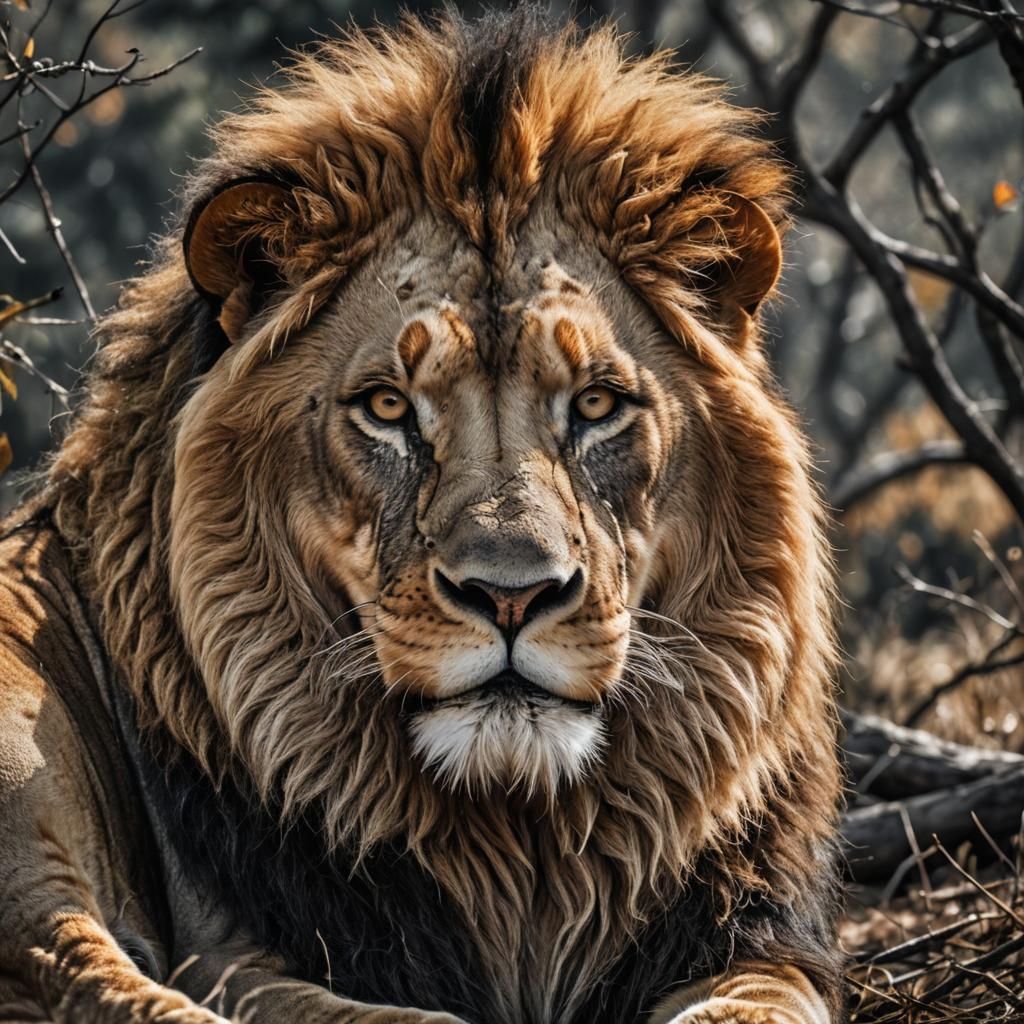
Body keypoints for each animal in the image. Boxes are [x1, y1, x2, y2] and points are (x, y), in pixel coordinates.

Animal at [0, 9, 845, 1024]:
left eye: (597, 405)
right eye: (389, 407)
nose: (512, 596)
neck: (524, 849)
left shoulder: (759, 938)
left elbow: (751, 1005)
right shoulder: (231, 951)